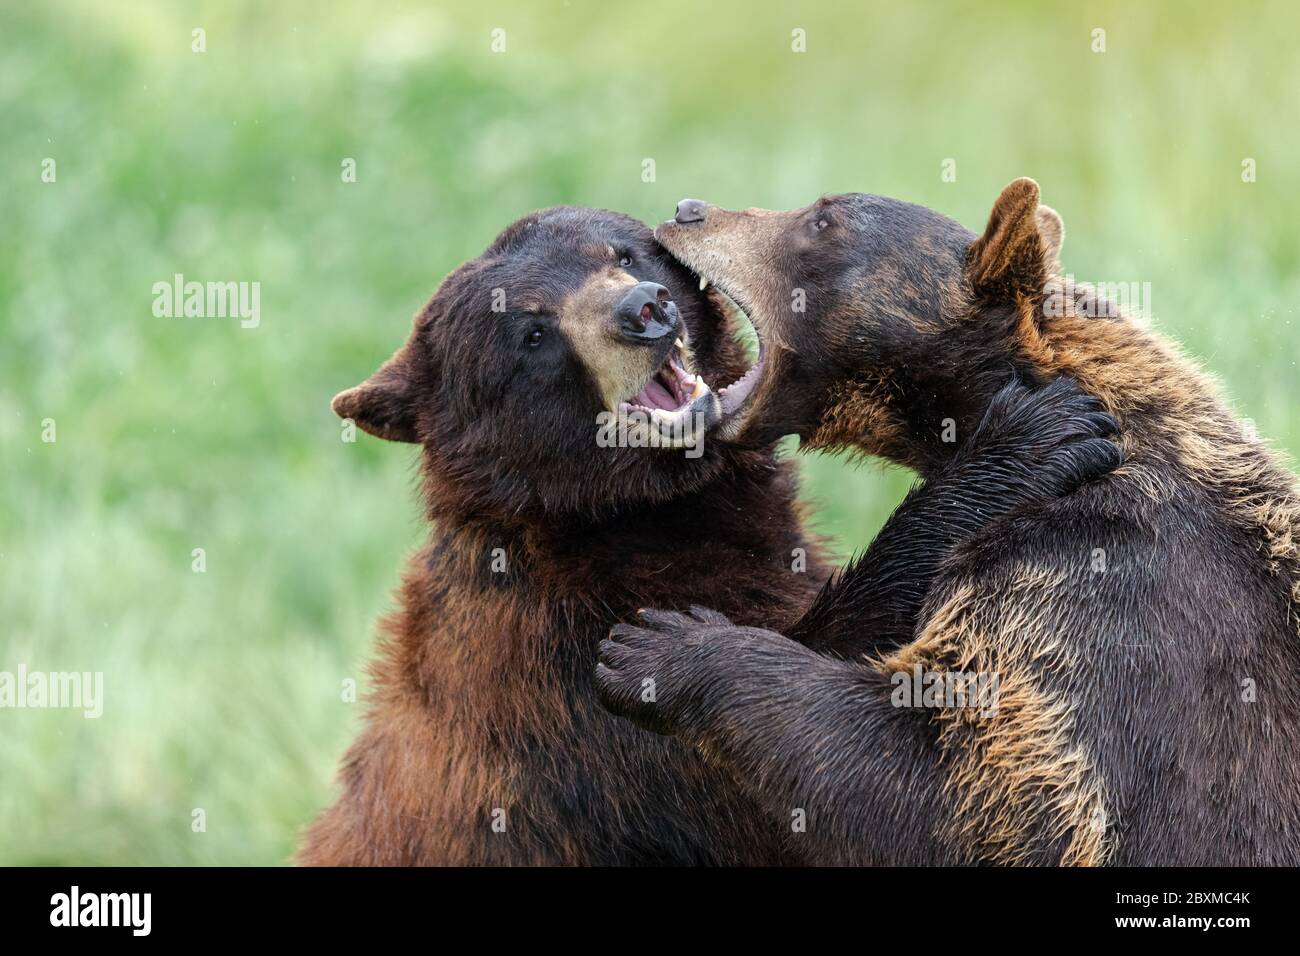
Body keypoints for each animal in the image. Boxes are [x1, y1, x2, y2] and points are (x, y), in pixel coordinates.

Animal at [295, 204, 1118, 868]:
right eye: (531, 331)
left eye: (621, 253)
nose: (644, 310)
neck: (624, 519)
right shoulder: (565, 686)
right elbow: (802, 741)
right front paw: (1031, 438)